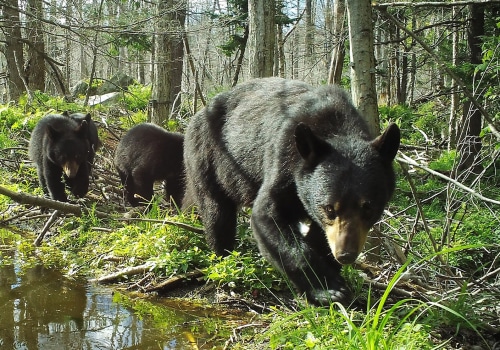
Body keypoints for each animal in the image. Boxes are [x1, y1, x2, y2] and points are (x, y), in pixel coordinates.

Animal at [182, 77, 400, 306]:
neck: (336, 127)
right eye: (329, 208)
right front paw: (327, 289)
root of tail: (198, 115)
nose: (345, 255)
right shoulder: (284, 161)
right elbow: (268, 216)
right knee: (217, 212)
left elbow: (320, 236)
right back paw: (224, 255)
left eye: (368, 208)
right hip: (207, 156)